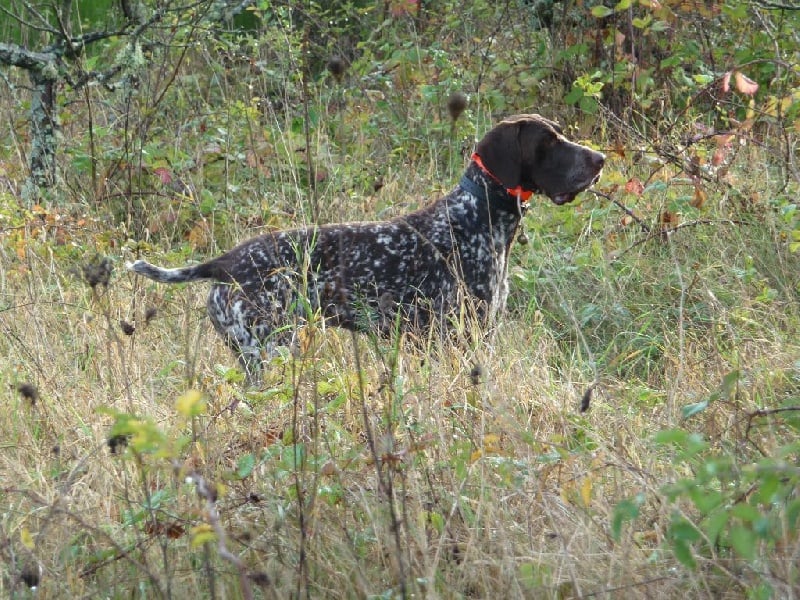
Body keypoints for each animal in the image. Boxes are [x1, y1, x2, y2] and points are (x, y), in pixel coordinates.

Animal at [126, 115, 600, 382]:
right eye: (548, 143)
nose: (600, 159)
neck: (476, 216)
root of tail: (225, 263)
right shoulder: (459, 339)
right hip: (271, 350)